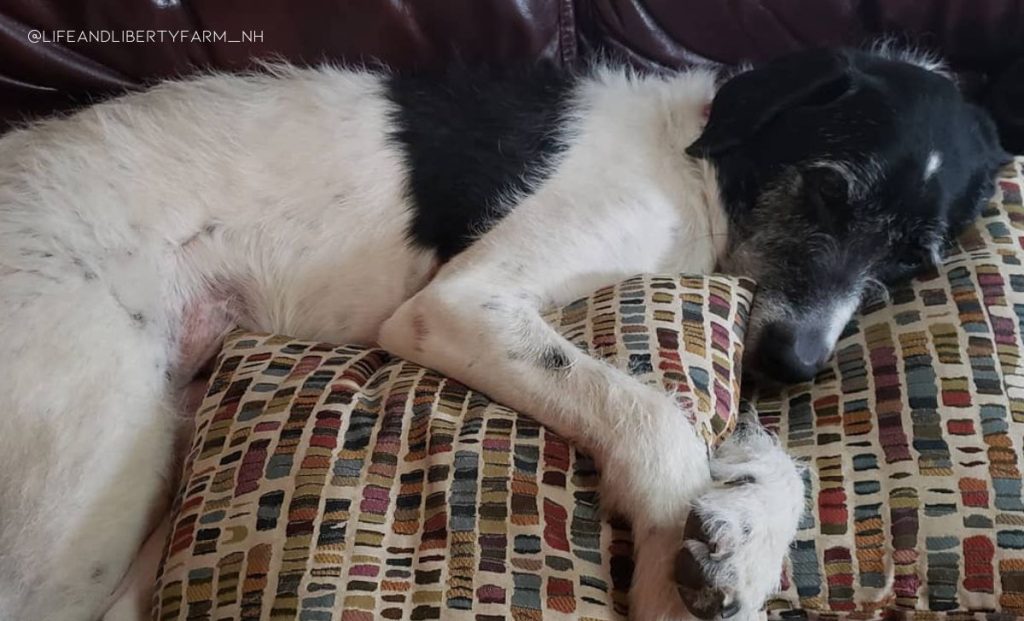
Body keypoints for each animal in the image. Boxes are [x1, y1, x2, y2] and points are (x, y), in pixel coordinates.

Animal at [0, 47, 1007, 621]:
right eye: (831, 186)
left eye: (912, 260)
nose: (793, 367)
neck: (694, 163)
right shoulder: (458, 303)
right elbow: (657, 418)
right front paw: (666, 578)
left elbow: (769, 456)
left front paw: (745, 533)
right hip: (92, 475)